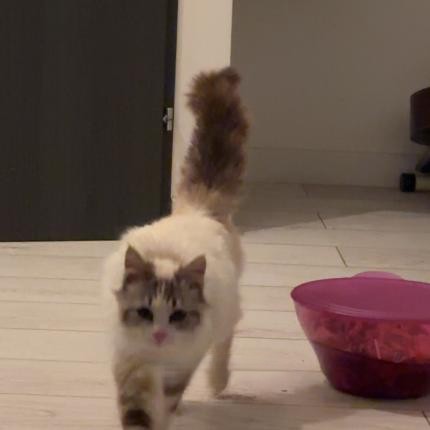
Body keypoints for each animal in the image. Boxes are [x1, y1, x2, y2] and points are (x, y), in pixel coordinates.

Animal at [103, 67, 249, 430]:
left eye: (178, 315)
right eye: (144, 312)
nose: (158, 335)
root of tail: (198, 209)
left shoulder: (180, 366)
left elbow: (165, 404)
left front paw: (165, 417)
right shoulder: (132, 363)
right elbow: (136, 412)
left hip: (225, 318)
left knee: (225, 341)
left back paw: (217, 383)